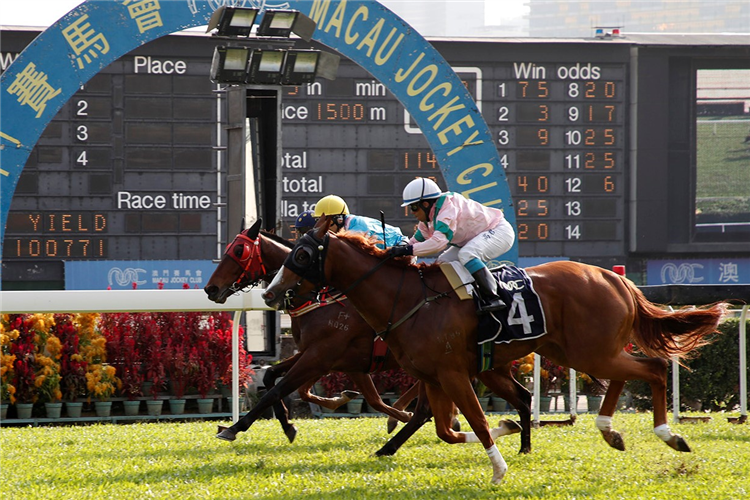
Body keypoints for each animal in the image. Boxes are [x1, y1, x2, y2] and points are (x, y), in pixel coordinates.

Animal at [262, 220, 728, 484]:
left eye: (301, 254)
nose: (272, 293)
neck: (407, 298)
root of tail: (616, 278)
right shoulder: (432, 376)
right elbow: (446, 429)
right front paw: (507, 430)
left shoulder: (449, 373)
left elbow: (473, 421)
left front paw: (499, 468)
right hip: (581, 351)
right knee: (625, 374)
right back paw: (608, 429)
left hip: (589, 352)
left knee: (653, 368)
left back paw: (669, 434)